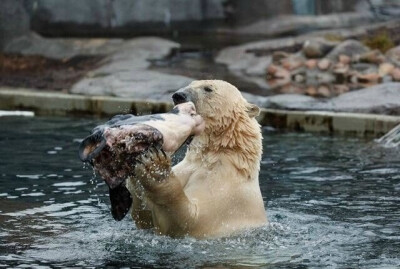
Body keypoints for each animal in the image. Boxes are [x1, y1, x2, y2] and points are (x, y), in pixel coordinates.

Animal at [126, 79, 268, 237]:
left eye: (208, 89)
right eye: (190, 84)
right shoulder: (188, 167)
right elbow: (145, 220)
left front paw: (155, 167)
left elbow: (189, 221)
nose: (178, 95)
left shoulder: (227, 197)